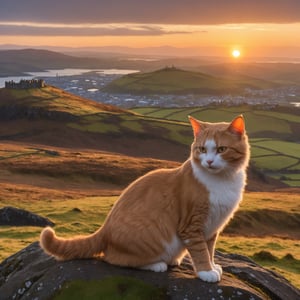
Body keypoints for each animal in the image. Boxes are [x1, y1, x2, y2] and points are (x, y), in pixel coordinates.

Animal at [40, 113, 251, 282]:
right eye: (202, 150)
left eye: (221, 149)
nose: (208, 161)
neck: (222, 181)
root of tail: (104, 228)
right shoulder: (192, 224)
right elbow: (200, 251)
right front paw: (206, 271)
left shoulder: (213, 226)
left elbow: (210, 249)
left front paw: (213, 265)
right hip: (149, 237)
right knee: (114, 258)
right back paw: (157, 264)